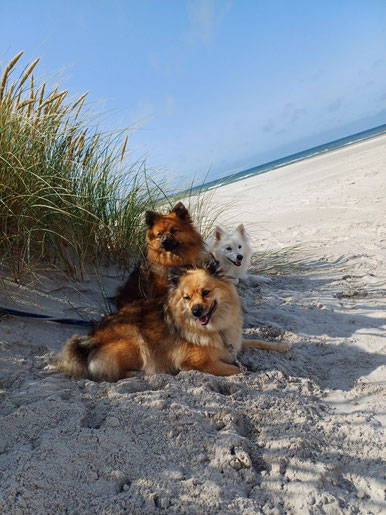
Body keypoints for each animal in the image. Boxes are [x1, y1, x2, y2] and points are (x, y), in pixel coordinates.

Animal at [53, 256, 290, 380]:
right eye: (187, 298)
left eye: (205, 292)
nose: (196, 311)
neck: (215, 328)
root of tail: (89, 339)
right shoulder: (198, 362)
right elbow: (238, 370)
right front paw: (254, 372)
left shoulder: (233, 342)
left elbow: (257, 341)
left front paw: (282, 346)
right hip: (135, 342)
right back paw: (140, 374)